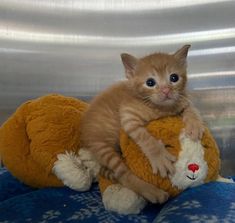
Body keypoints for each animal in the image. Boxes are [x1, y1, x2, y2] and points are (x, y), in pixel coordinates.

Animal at [79, 45, 204, 204]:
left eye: (174, 78)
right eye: (150, 82)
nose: (166, 90)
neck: (160, 108)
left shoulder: (181, 100)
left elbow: (190, 107)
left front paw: (195, 124)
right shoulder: (128, 117)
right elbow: (146, 138)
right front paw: (159, 157)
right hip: (102, 148)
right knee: (123, 175)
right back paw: (152, 191)